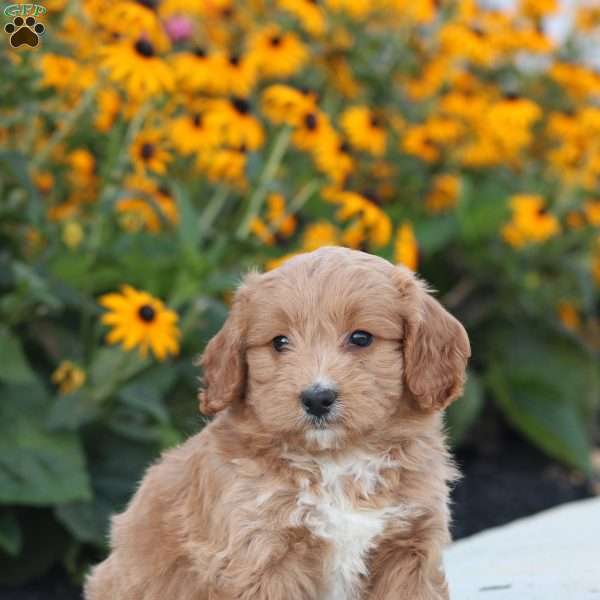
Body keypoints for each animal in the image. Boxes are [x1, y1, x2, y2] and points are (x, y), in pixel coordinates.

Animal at [84, 246, 468, 600]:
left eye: (361, 338)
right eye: (280, 342)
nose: (316, 398)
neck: (337, 461)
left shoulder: (409, 548)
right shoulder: (262, 559)